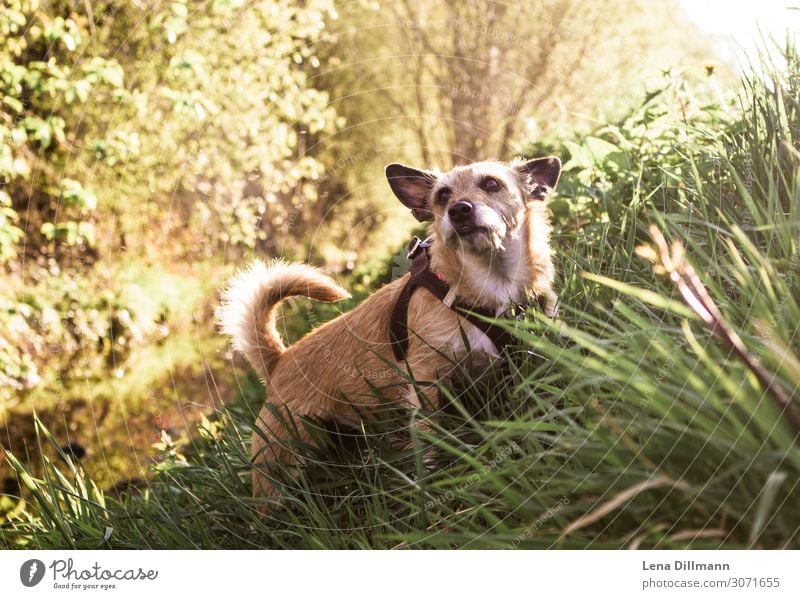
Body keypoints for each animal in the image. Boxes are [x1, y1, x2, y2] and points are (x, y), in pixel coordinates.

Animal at [216, 157, 560, 508]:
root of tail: (279, 361)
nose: (459, 210)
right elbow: (429, 432)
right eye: (442, 196)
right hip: (279, 461)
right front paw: (432, 477)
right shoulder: (424, 379)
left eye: (491, 184)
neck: (491, 287)